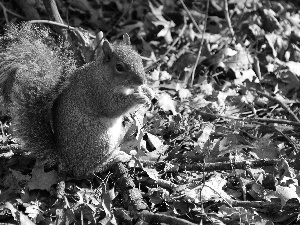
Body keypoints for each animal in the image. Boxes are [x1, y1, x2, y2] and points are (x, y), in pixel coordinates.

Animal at [0, 23, 154, 178]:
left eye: (139, 59)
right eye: (119, 67)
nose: (142, 81)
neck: (103, 76)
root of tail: (65, 159)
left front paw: (148, 91)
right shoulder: (97, 93)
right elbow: (112, 107)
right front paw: (137, 97)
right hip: (98, 139)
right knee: (86, 170)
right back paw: (114, 158)